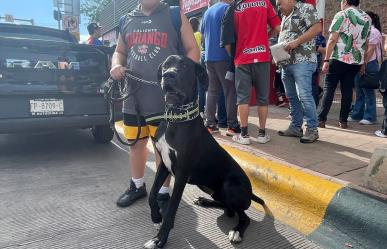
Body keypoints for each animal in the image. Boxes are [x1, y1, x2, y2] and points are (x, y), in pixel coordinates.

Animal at [144, 55, 266, 248]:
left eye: (185, 66)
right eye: (165, 65)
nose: (168, 75)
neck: (176, 119)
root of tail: (249, 193)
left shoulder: (181, 174)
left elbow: (171, 209)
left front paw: (159, 239)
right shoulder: (164, 164)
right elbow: (152, 194)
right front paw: (156, 217)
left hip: (231, 186)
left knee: (243, 216)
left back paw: (236, 232)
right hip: (206, 186)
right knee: (227, 208)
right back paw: (205, 201)